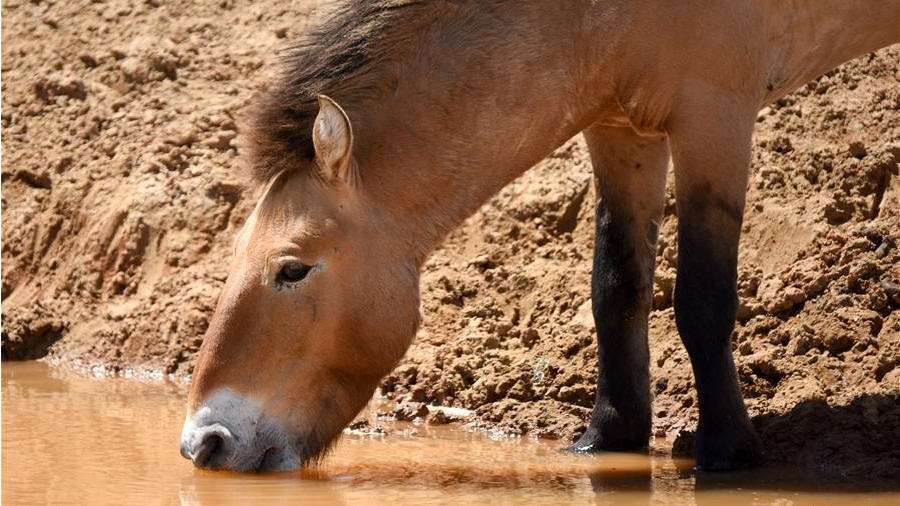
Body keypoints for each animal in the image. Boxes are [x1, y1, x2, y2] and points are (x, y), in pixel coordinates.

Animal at [179, 0, 900, 472]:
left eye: (293, 268)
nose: (203, 444)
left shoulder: (715, 113)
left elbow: (702, 301)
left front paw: (726, 452)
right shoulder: (622, 129)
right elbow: (616, 289)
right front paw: (609, 436)